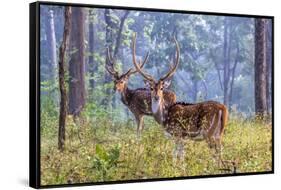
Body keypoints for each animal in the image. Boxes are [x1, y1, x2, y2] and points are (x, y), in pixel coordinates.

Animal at [131, 33, 228, 167]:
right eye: (151, 88)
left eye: (162, 88)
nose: (156, 97)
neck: (164, 118)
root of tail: (223, 108)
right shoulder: (182, 138)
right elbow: (181, 156)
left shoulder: (178, 134)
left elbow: (176, 156)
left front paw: (175, 168)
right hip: (219, 133)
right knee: (221, 151)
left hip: (208, 132)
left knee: (216, 154)